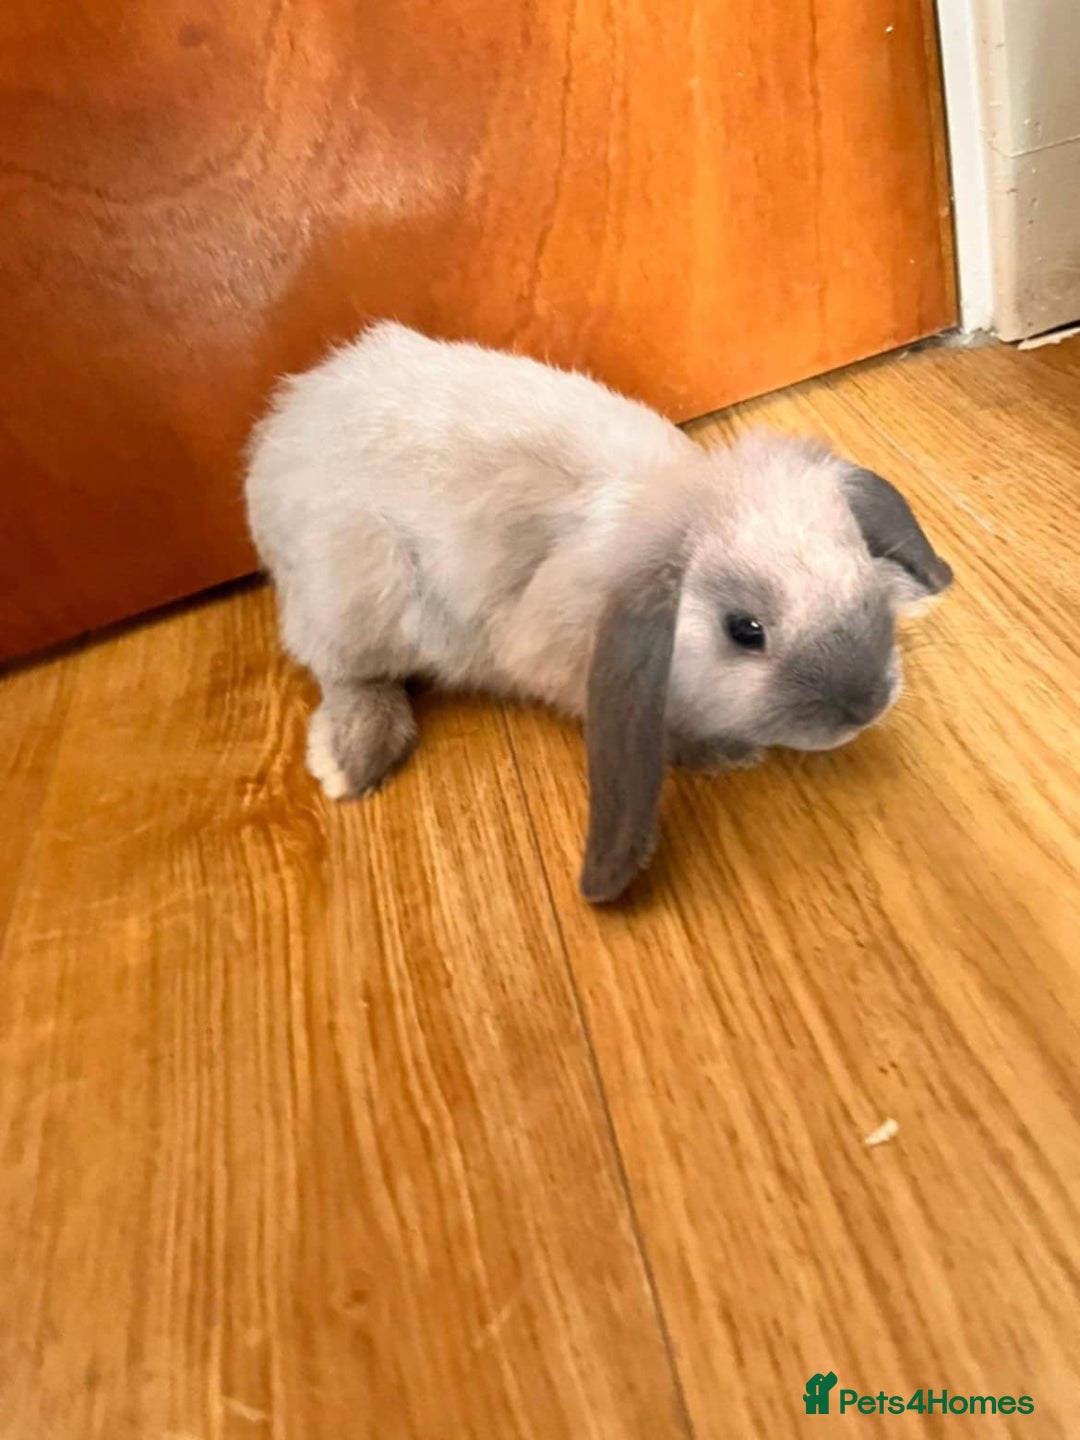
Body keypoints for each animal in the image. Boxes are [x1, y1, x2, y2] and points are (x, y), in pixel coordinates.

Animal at [245, 321, 953, 904]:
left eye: (858, 559)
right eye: (745, 630)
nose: (867, 705)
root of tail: (280, 430)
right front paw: (723, 754)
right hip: (355, 594)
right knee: (344, 673)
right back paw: (352, 757)